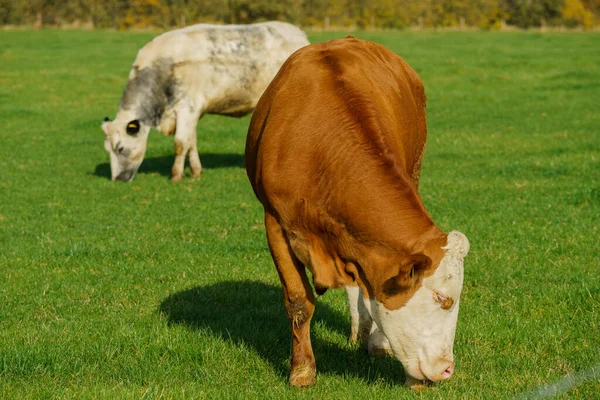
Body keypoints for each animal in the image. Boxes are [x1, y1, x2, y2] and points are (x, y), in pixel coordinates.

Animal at [102, 22, 310, 182]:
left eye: (120, 148)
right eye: (108, 150)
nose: (117, 179)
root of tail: (299, 35)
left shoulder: (187, 108)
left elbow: (180, 143)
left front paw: (176, 175)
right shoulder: (192, 113)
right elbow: (191, 142)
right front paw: (195, 171)